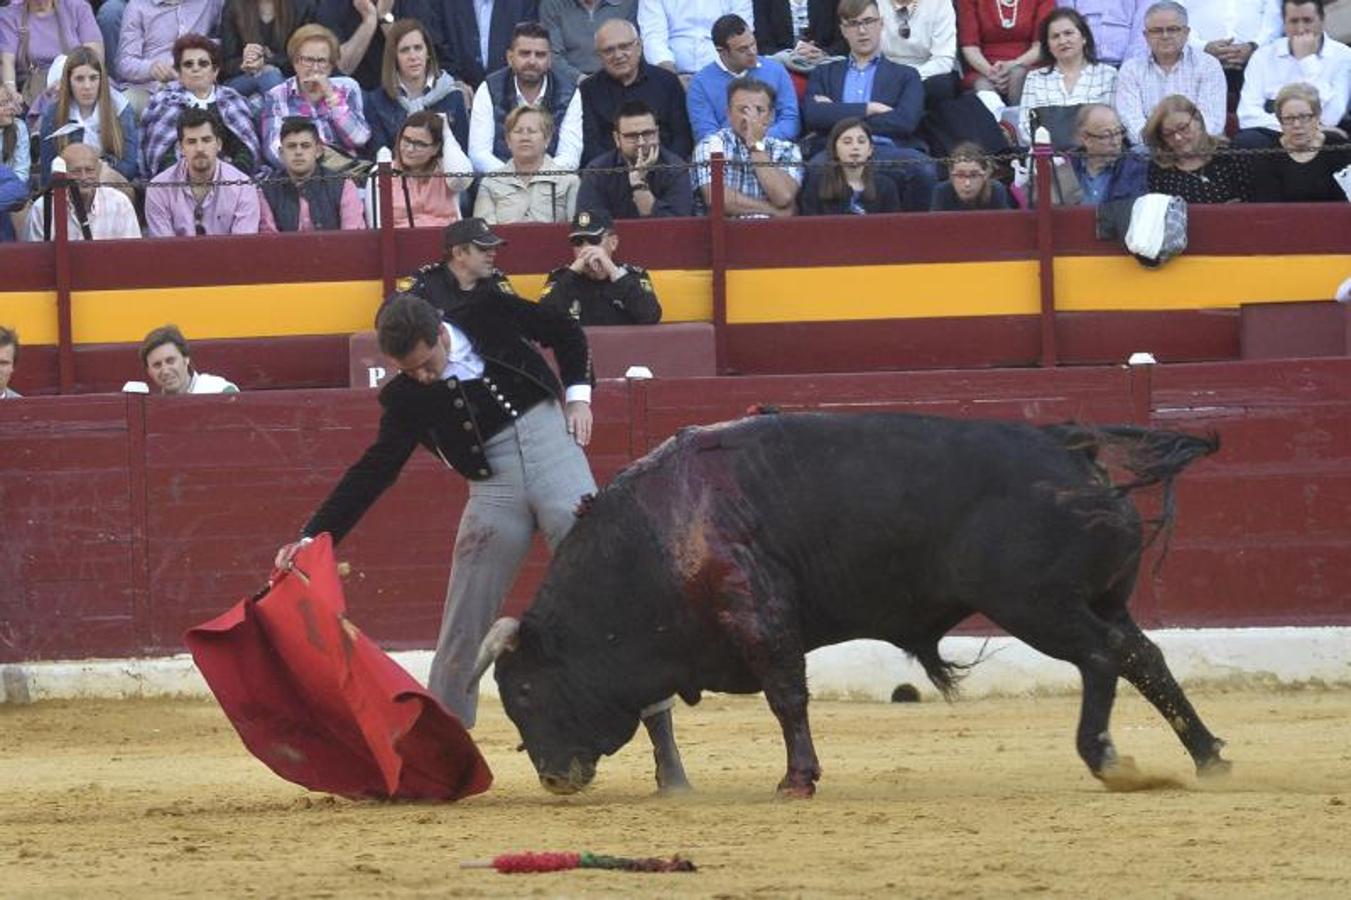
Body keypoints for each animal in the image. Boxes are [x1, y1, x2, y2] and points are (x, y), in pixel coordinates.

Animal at [480, 410, 1232, 794]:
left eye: (524, 692)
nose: (552, 777)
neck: (652, 541)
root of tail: (1070, 444)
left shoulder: (761, 619)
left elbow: (787, 699)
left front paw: (797, 780)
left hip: (1037, 605)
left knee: (1102, 660)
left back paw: (1105, 757)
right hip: (1099, 600)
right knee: (1143, 657)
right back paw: (1208, 756)